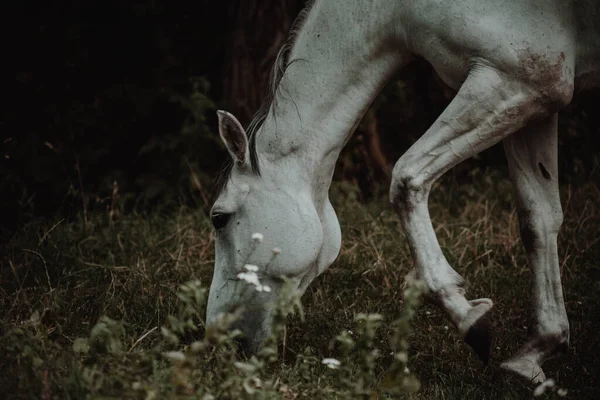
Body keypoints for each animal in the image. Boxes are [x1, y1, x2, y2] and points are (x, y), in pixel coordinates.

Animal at [205, 0, 596, 382]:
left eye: (219, 219)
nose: (218, 337)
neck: (397, 9)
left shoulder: (520, 80)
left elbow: (407, 178)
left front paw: (468, 318)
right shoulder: (537, 103)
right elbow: (537, 221)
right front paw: (538, 350)